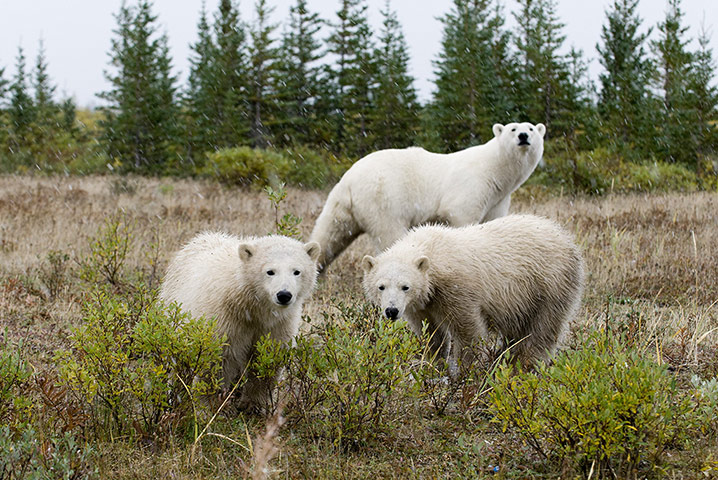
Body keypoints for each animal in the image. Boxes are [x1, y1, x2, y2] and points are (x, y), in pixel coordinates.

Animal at [159, 232, 320, 411]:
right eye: (270, 271)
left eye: (297, 271)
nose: (284, 295)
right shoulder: (225, 318)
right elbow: (217, 358)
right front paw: (209, 406)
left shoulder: (278, 324)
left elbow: (266, 355)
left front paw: (253, 404)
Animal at [310, 122, 546, 272]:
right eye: (513, 128)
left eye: (531, 128)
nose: (523, 137)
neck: (496, 170)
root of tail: (349, 179)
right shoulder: (471, 188)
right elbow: (462, 217)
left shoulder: (498, 198)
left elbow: (493, 224)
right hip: (384, 200)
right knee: (390, 235)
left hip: (341, 206)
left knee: (329, 235)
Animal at [361, 214, 584, 369]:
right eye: (381, 286)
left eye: (405, 286)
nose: (391, 311)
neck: (434, 251)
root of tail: (566, 238)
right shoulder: (422, 304)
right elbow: (431, 333)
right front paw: (432, 364)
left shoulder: (457, 290)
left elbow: (469, 332)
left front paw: (464, 372)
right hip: (523, 299)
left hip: (549, 284)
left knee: (542, 329)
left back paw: (522, 365)